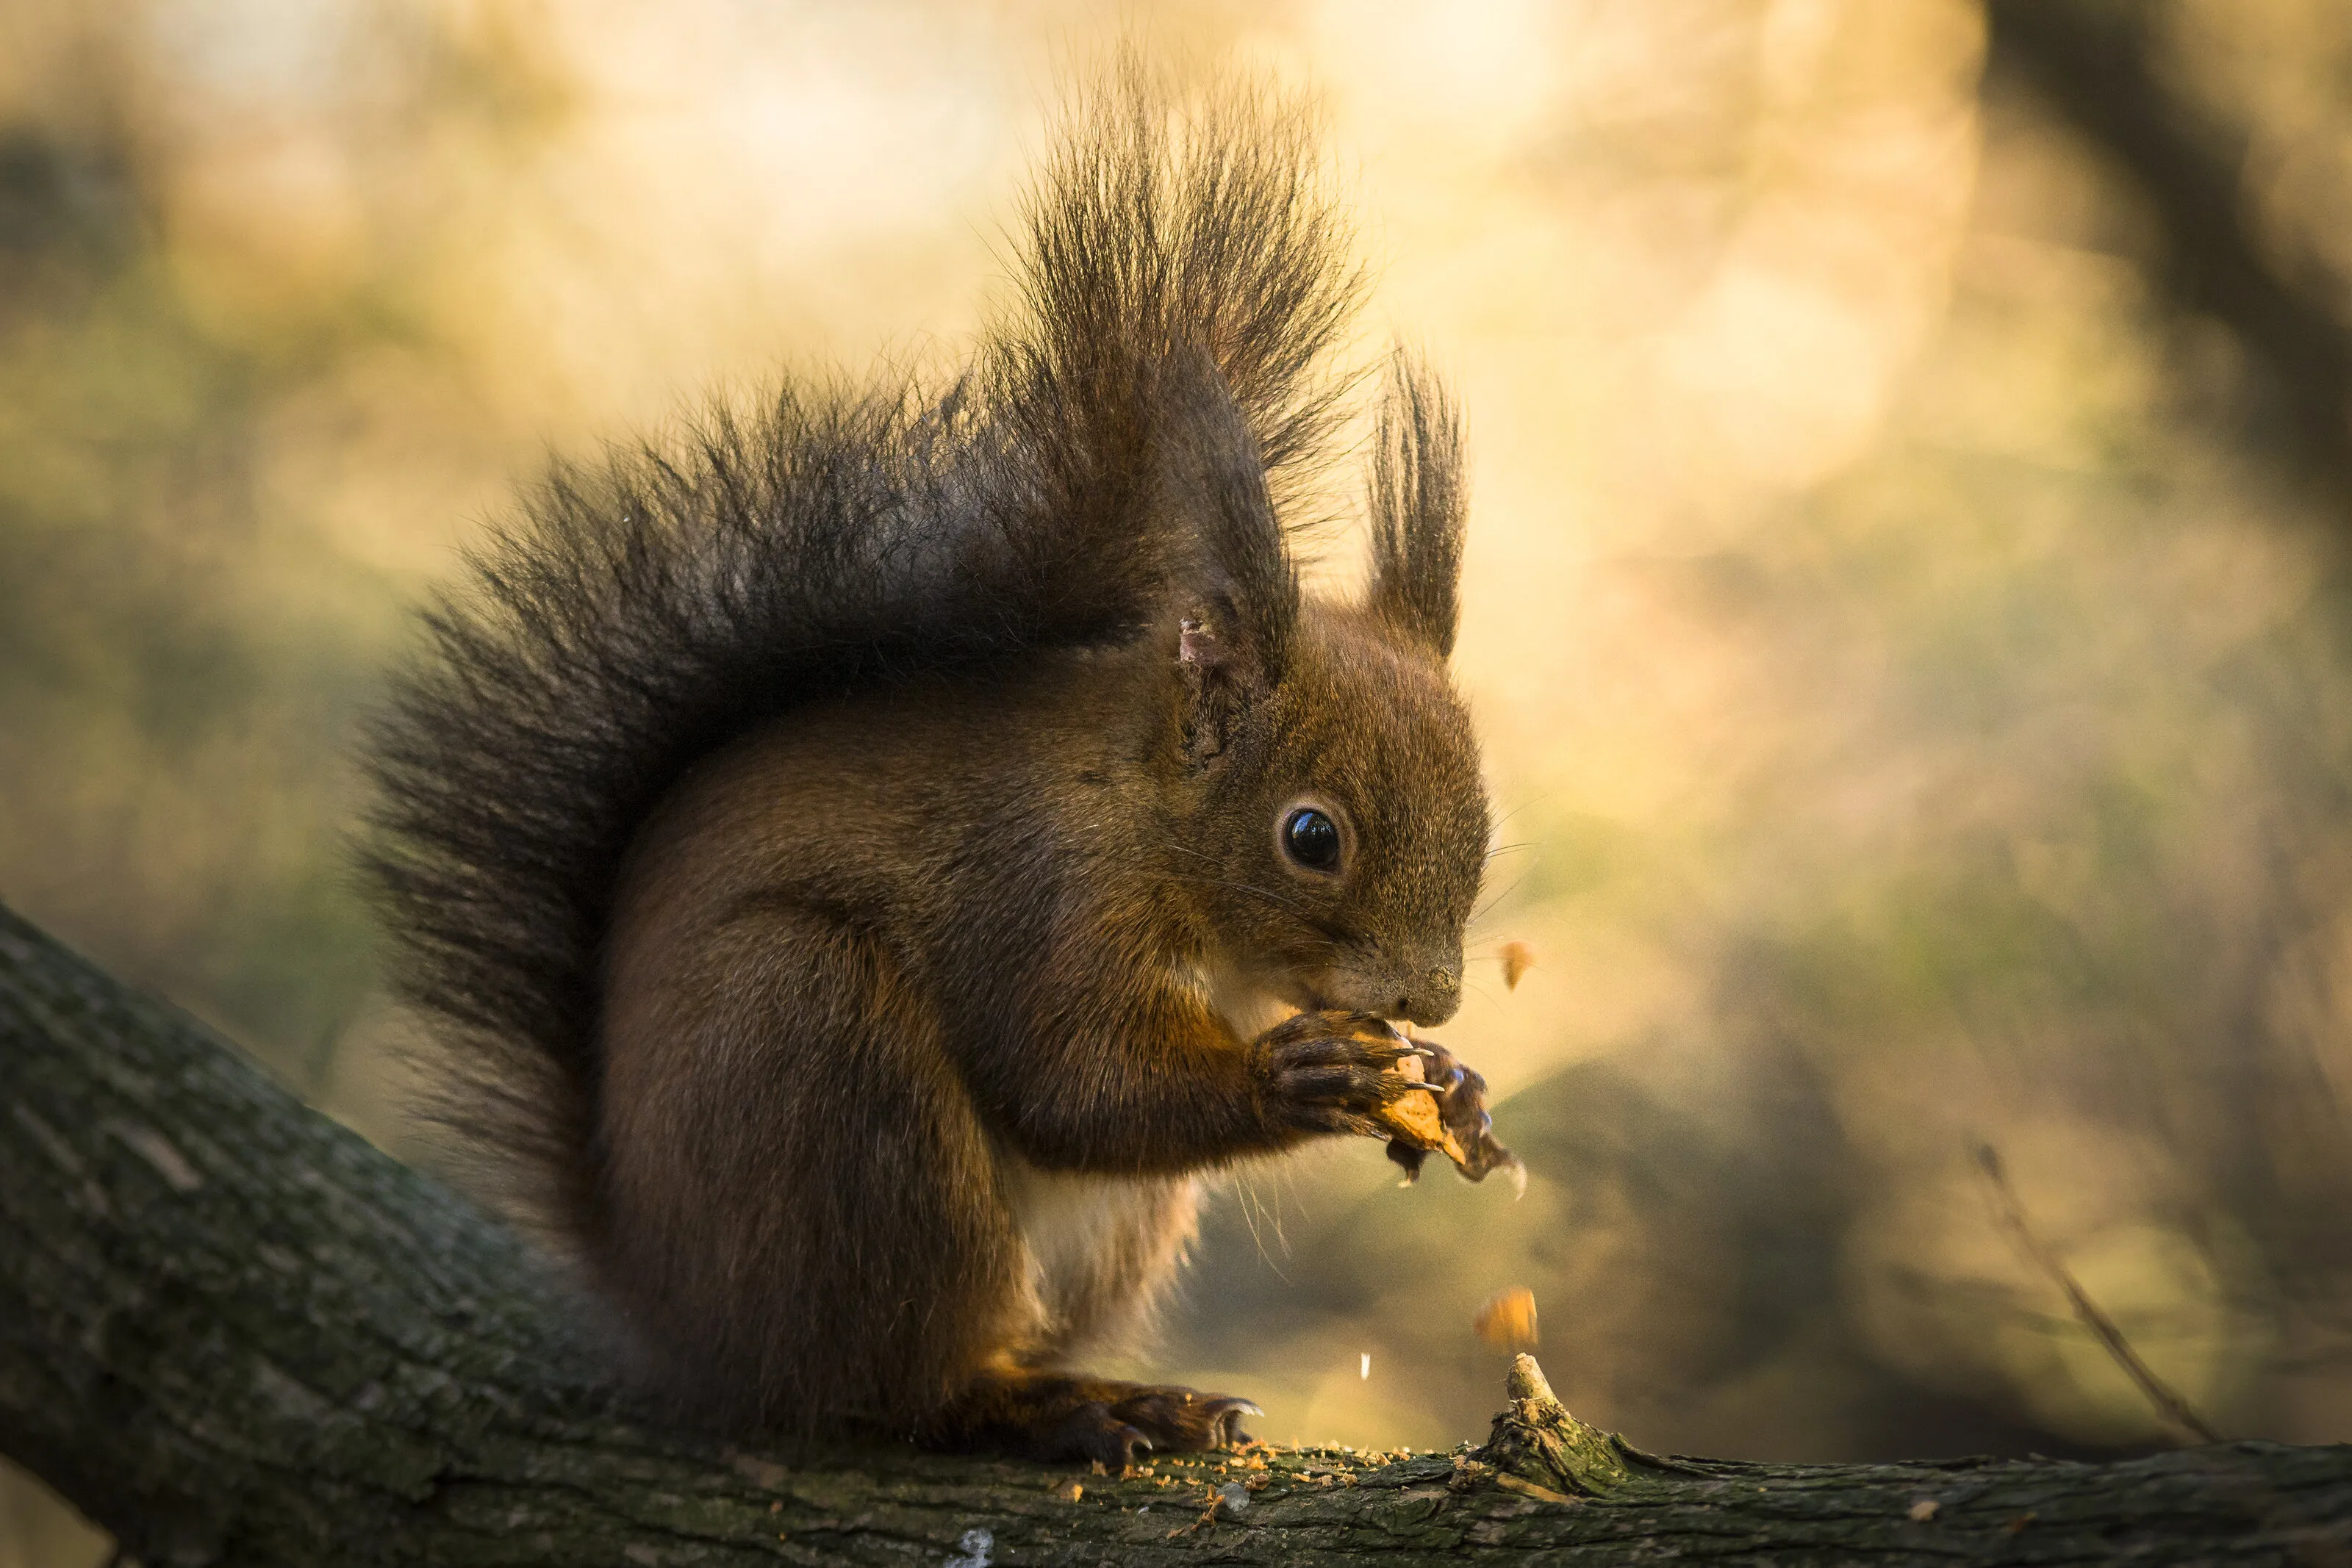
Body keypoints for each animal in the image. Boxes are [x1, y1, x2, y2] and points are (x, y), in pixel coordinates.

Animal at [362, 69, 1515, 1467]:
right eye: (1312, 835)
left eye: (1486, 815)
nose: (1432, 996)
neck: (1142, 812)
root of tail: (677, 1314)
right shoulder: (1043, 897)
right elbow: (1070, 1080)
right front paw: (1297, 1076)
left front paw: (1451, 1086)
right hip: (822, 1063)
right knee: (896, 1383)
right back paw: (1049, 1406)